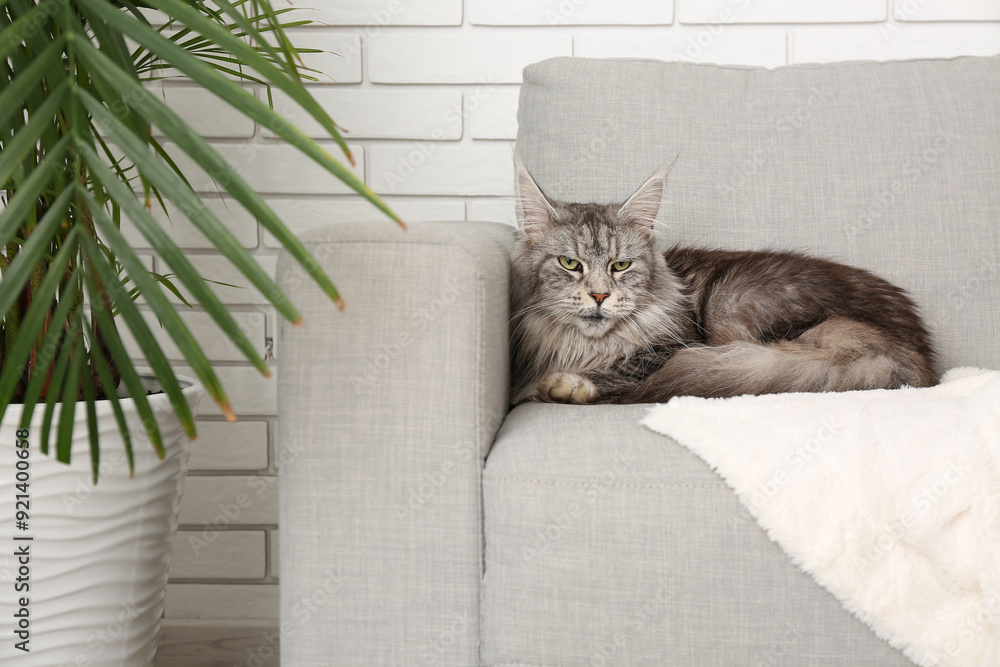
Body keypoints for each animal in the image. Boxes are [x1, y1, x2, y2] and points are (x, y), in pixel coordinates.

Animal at [512, 158, 940, 408]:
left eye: (621, 265)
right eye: (570, 263)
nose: (599, 295)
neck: (584, 347)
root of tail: (920, 357)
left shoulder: (675, 346)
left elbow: (625, 367)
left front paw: (565, 385)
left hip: (729, 305)